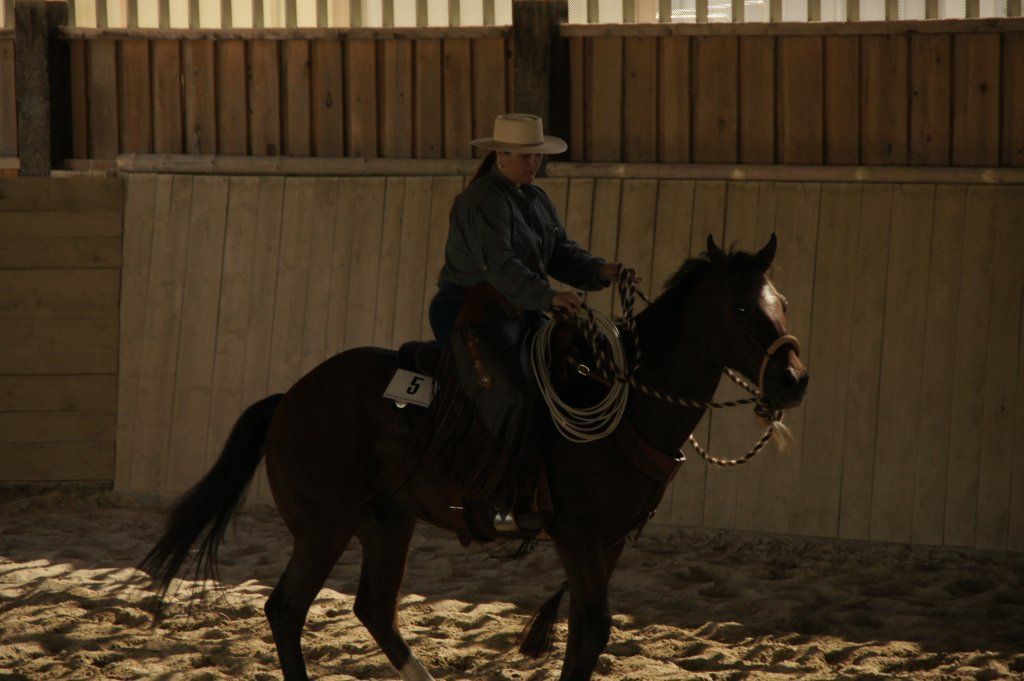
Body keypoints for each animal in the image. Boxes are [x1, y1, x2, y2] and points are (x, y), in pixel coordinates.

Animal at [139, 233, 808, 681]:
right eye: (741, 306)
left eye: (782, 302)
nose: (794, 381)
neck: (624, 404)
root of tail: (289, 398)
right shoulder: (578, 534)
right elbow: (593, 629)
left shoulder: (609, 539)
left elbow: (582, 635)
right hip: (324, 525)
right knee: (286, 610)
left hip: (387, 520)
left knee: (374, 608)